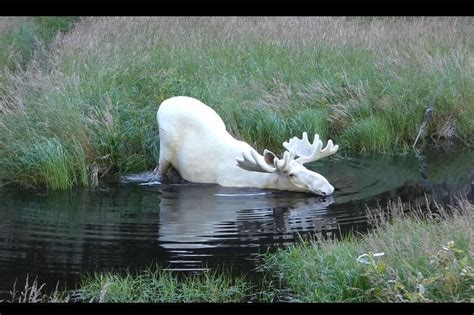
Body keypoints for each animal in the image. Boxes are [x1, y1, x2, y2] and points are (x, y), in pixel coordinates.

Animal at [156, 96, 336, 196]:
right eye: (291, 174)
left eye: (305, 168)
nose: (327, 188)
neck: (263, 180)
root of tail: (164, 103)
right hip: (164, 152)